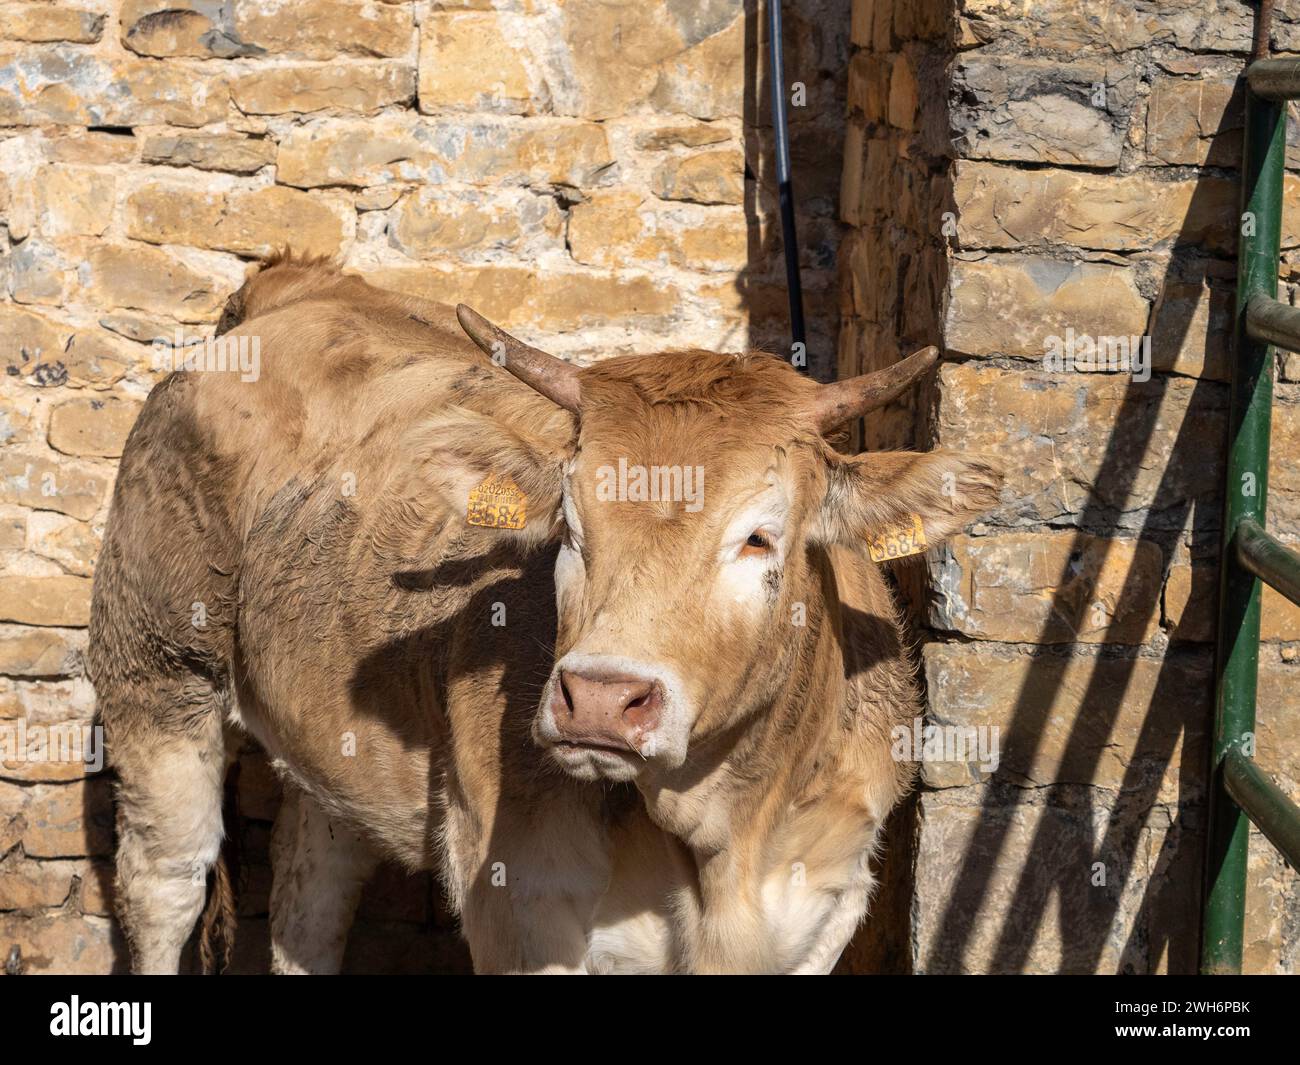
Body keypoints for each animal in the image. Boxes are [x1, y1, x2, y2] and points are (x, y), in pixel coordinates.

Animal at [88, 253, 1002, 974]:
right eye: (570, 524)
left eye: (759, 536)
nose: (599, 698)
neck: (725, 840)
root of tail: (297, 289)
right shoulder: (521, 905)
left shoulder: (822, 910)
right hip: (156, 676)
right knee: (164, 884)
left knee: (312, 893)